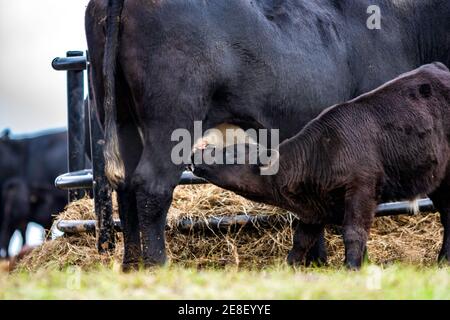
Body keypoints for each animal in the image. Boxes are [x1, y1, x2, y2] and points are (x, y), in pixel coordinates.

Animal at [192, 63, 450, 268]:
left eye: (232, 154)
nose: (197, 154)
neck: (322, 153)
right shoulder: (313, 208)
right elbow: (302, 240)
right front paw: (287, 267)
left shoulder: (362, 189)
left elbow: (354, 232)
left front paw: (351, 268)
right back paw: (443, 260)